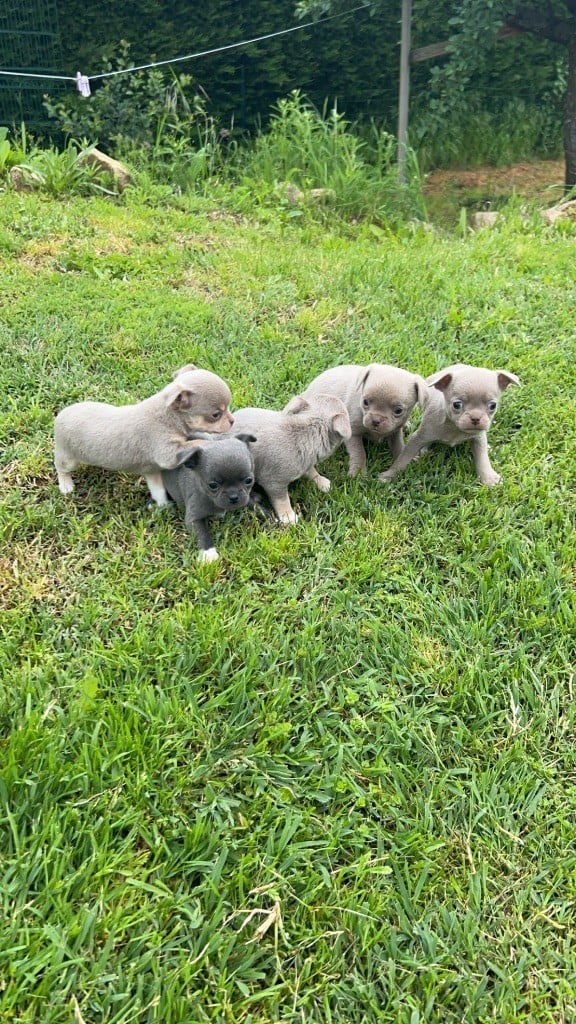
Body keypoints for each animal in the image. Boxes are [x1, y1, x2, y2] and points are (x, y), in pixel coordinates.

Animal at [53, 364, 233, 507]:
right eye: (216, 415)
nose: (232, 421)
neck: (169, 416)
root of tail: (60, 415)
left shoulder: (152, 472)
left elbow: (158, 491)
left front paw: (163, 507)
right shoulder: (167, 454)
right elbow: (194, 443)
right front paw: (212, 444)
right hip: (68, 458)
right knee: (60, 468)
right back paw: (66, 485)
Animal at [159, 432, 254, 561]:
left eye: (249, 480)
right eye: (213, 485)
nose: (233, 496)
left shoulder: (246, 498)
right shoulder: (194, 519)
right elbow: (203, 534)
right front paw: (208, 553)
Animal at [229, 389, 350, 524]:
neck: (308, 429)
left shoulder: (306, 462)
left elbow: (311, 471)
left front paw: (321, 481)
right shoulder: (274, 483)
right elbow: (282, 500)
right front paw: (288, 516)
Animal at [379, 362, 518, 485]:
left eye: (492, 406)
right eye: (457, 405)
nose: (475, 418)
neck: (455, 427)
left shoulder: (478, 438)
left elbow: (482, 458)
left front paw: (489, 478)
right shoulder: (418, 438)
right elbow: (403, 458)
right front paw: (390, 475)